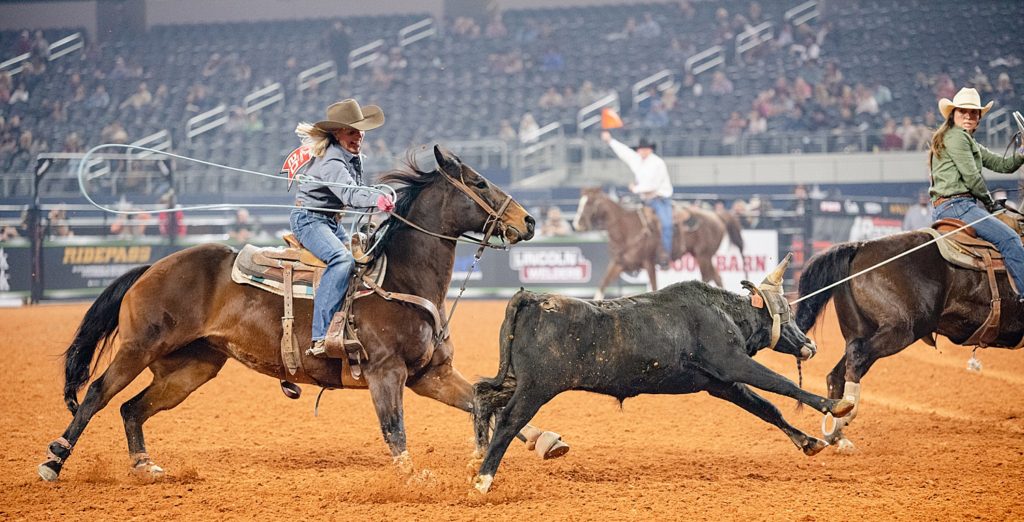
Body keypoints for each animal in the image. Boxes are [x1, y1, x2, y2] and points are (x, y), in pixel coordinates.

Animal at [39, 146, 569, 481]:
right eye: (478, 181)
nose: (528, 220)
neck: (399, 280)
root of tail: (153, 266)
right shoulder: (386, 374)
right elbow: (394, 431)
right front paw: (412, 479)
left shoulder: (429, 375)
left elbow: (488, 404)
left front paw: (548, 441)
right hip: (139, 346)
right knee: (97, 395)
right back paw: (54, 461)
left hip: (190, 368)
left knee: (132, 408)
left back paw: (144, 466)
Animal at [573, 188, 749, 298]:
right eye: (580, 202)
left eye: (589, 203)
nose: (577, 224)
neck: (628, 228)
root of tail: (716, 215)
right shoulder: (618, 263)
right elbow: (602, 285)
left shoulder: (649, 262)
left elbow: (653, 286)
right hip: (702, 255)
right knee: (716, 276)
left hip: (703, 255)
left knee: (707, 276)